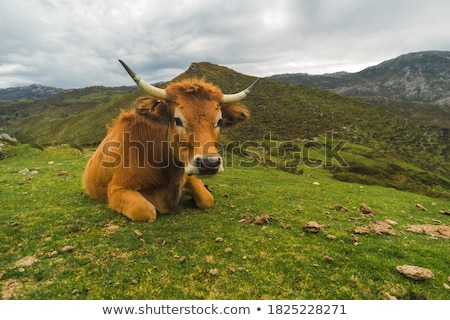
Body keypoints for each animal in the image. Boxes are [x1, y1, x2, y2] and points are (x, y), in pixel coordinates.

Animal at [82, 61, 258, 222]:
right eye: (178, 120)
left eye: (219, 121)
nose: (209, 163)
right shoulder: (117, 188)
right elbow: (144, 211)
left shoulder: (188, 175)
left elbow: (207, 199)